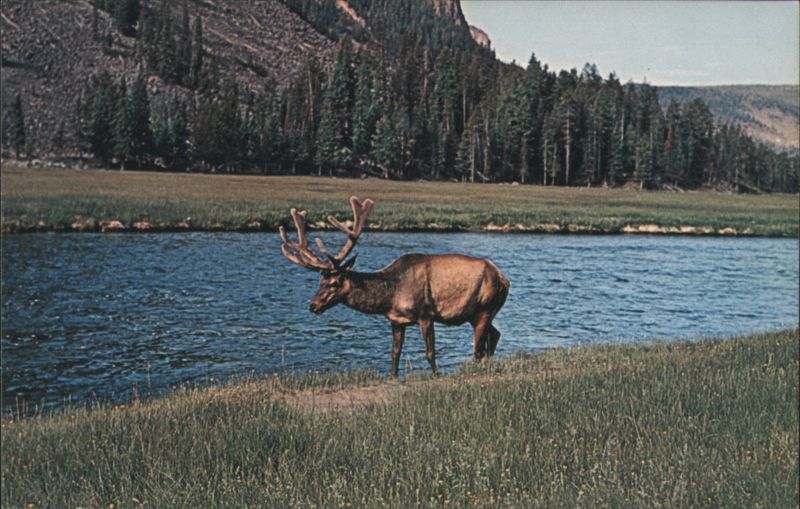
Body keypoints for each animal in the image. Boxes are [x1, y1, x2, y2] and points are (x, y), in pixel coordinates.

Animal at [279, 196, 510, 377]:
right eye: (320, 282)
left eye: (334, 283)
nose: (313, 305)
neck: (390, 297)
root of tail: (504, 279)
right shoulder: (396, 320)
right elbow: (395, 353)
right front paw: (393, 377)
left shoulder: (426, 314)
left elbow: (430, 352)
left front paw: (436, 375)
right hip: (477, 314)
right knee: (495, 335)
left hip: (485, 307)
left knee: (479, 347)